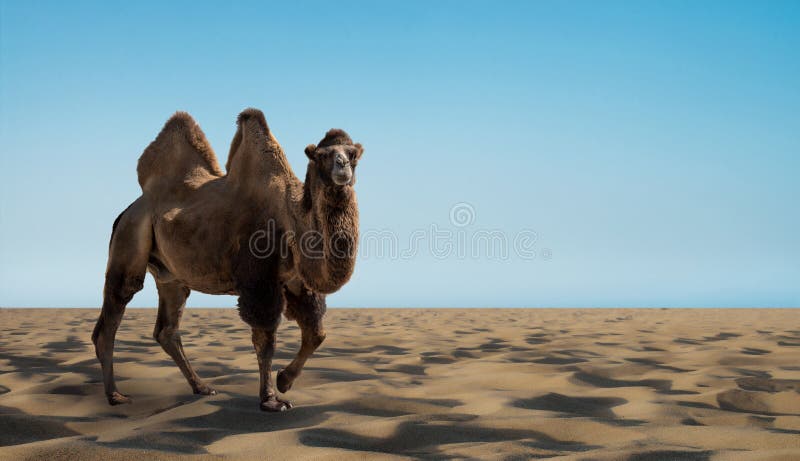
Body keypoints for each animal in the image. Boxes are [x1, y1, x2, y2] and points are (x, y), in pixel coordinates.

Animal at [91, 108, 363, 411]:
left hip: (171, 276)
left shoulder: (295, 281)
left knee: (167, 329)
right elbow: (265, 339)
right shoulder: (259, 281)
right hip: (130, 237)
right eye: (323, 155)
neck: (292, 219)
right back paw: (115, 395)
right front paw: (271, 399)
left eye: (352, 153)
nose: (342, 167)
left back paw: (202, 387)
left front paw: (284, 381)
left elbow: (317, 333)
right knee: (116, 307)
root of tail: (127, 210)